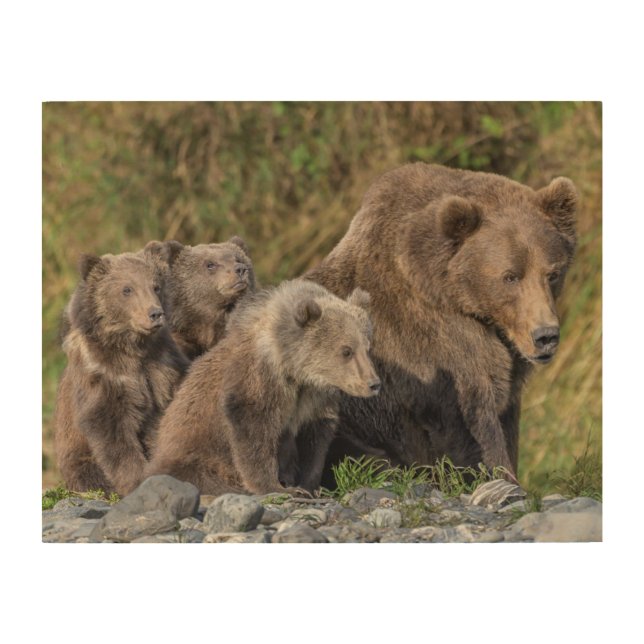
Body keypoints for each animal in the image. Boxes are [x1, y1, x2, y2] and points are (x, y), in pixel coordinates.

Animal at [54, 249, 190, 496]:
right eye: (127, 289)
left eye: (156, 286)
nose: (155, 313)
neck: (133, 347)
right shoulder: (104, 376)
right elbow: (111, 430)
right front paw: (136, 479)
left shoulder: (163, 365)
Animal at [144, 280, 380, 496]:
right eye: (346, 350)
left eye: (367, 347)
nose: (373, 383)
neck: (294, 368)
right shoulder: (260, 378)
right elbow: (253, 427)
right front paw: (276, 486)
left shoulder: (314, 398)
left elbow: (314, 439)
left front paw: (308, 485)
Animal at [304, 162, 578, 483]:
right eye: (510, 276)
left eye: (553, 273)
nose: (545, 336)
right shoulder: (435, 348)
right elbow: (473, 422)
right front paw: (501, 476)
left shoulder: (508, 362)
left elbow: (507, 417)